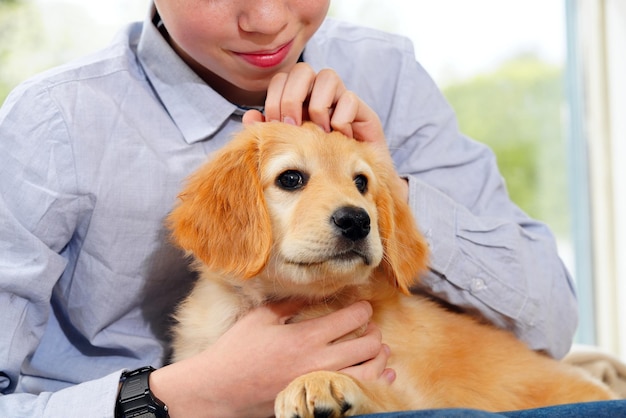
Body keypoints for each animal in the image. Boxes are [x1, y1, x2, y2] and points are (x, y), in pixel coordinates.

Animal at [167, 120, 616, 414]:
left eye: (361, 183)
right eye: (290, 179)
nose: (356, 220)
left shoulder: (413, 392)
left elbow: (390, 397)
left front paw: (326, 381)